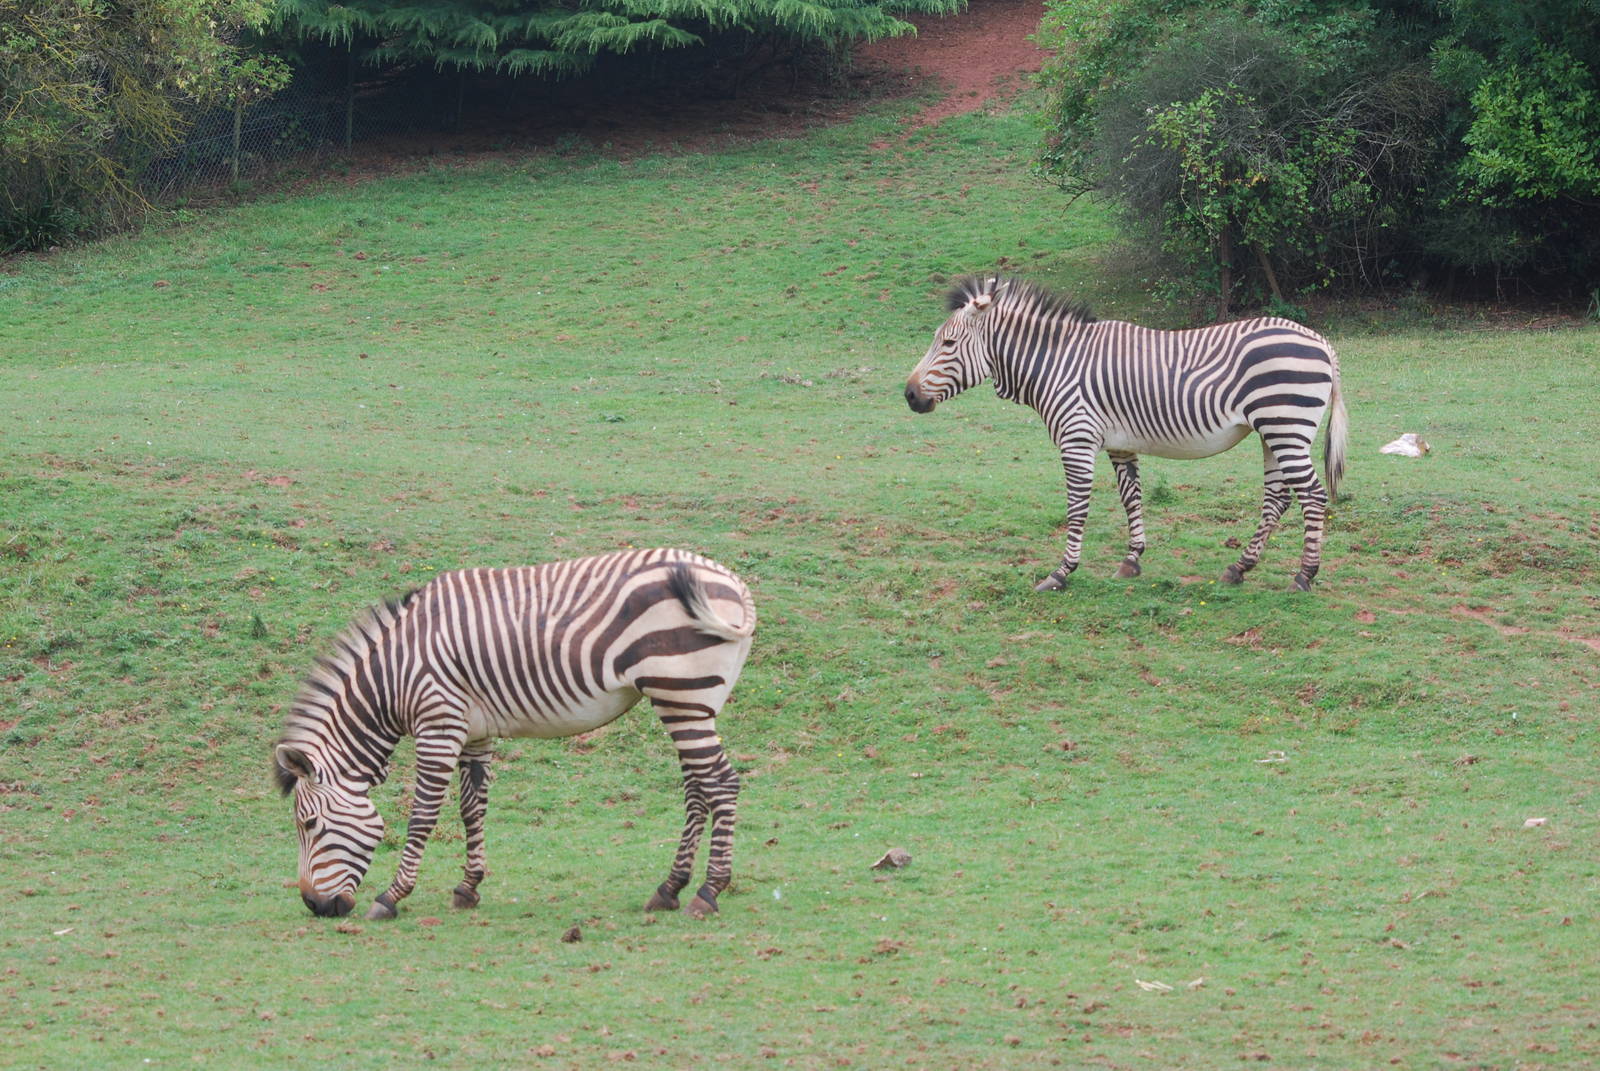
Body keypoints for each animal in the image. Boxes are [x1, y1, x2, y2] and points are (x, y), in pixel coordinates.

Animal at [273, 548, 756, 922]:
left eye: (309, 824)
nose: (315, 906)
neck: (394, 676)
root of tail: (733, 582)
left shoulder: (438, 725)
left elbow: (423, 815)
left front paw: (391, 896)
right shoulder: (473, 732)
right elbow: (472, 808)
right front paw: (467, 888)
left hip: (680, 693)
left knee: (721, 783)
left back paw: (707, 892)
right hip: (689, 702)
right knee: (698, 787)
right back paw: (669, 888)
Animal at [904, 275, 1348, 592]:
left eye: (948, 343)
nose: (908, 395)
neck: (1056, 364)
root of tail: (1322, 342)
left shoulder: (1077, 439)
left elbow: (1077, 507)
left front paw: (1061, 572)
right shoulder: (1119, 445)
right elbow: (1130, 498)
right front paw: (1132, 559)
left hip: (1285, 427)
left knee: (1312, 495)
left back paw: (1305, 575)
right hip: (1272, 432)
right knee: (1278, 498)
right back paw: (1239, 567)